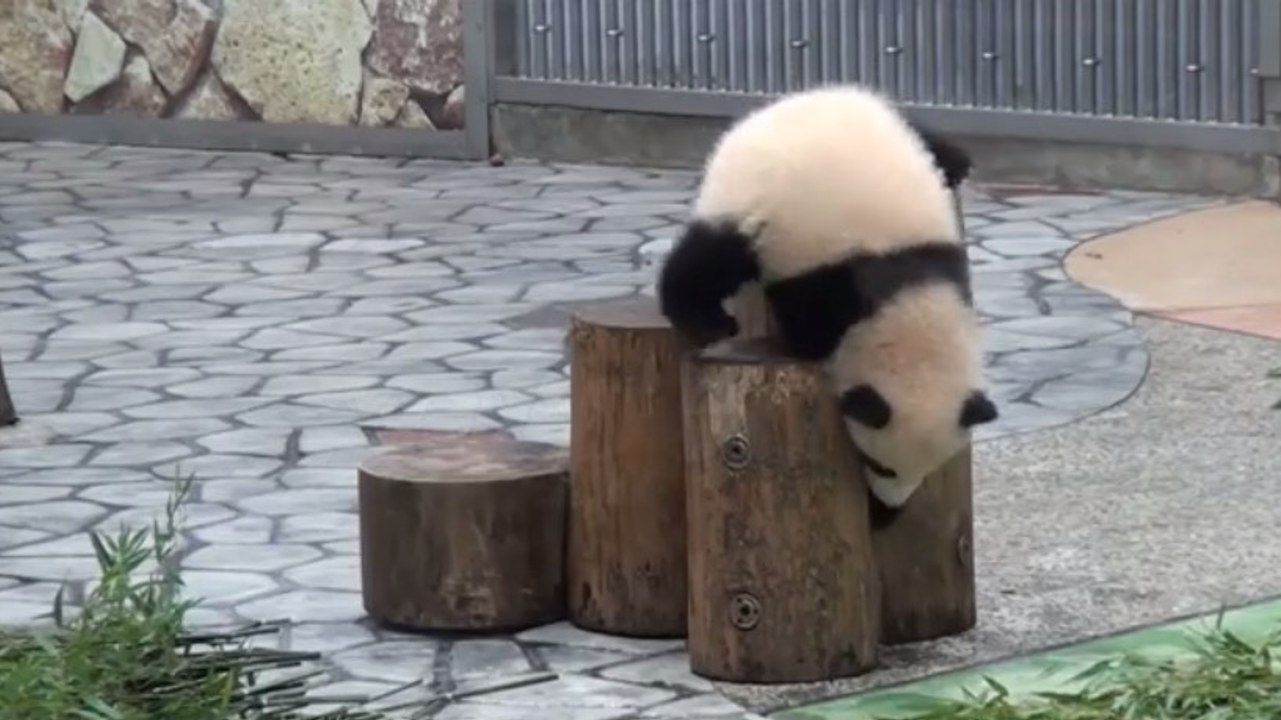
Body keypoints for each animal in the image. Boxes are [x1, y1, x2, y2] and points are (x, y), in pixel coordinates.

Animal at [657, 83, 998, 517]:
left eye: (928, 470)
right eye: (879, 465)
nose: (888, 507)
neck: (906, 301)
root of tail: (789, 102)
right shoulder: (822, 284)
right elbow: (807, 330)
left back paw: (954, 164)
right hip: (747, 202)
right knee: (706, 259)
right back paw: (705, 320)